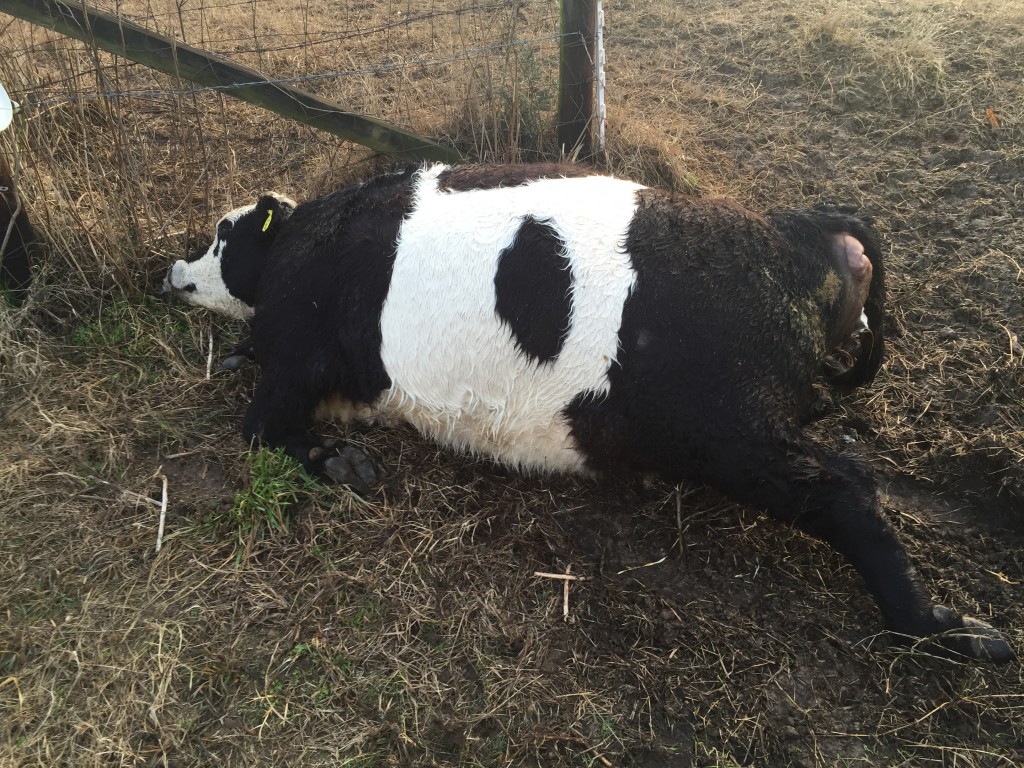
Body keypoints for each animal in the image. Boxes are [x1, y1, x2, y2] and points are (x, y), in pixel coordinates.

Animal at [163, 162, 1011, 663]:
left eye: (223, 235)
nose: (173, 269)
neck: (306, 241)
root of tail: (798, 228)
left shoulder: (297, 355)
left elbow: (261, 428)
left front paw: (341, 462)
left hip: (728, 430)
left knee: (847, 490)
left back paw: (951, 632)